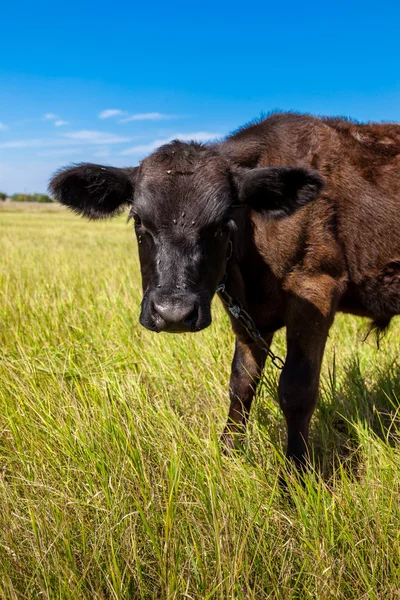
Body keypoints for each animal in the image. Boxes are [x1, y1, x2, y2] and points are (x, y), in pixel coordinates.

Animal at [50, 113, 400, 468]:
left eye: (221, 224)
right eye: (138, 220)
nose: (172, 314)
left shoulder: (316, 288)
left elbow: (297, 389)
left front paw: (295, 473)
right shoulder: (246, 312)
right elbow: (242, 382)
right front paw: (229, 453)